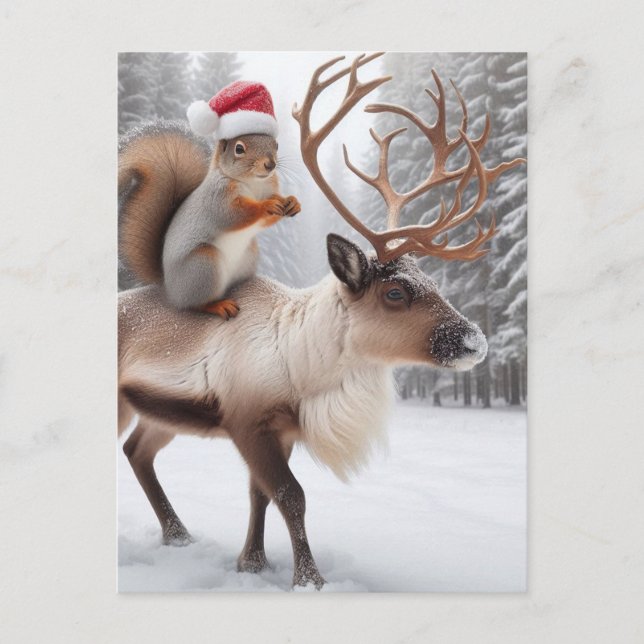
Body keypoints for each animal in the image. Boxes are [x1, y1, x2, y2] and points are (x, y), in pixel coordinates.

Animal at [118, 81, 300, 319]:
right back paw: (218, 305)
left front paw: (292, 202)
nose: (270, 165)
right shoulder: (218, 197)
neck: (251, 182)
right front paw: (267, 206)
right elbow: (234, 215)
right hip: (203, 266)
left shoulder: (268, 187)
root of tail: (170, 289)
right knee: (194, 304)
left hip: (248, 255)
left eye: (275, 144)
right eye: (239, 148)